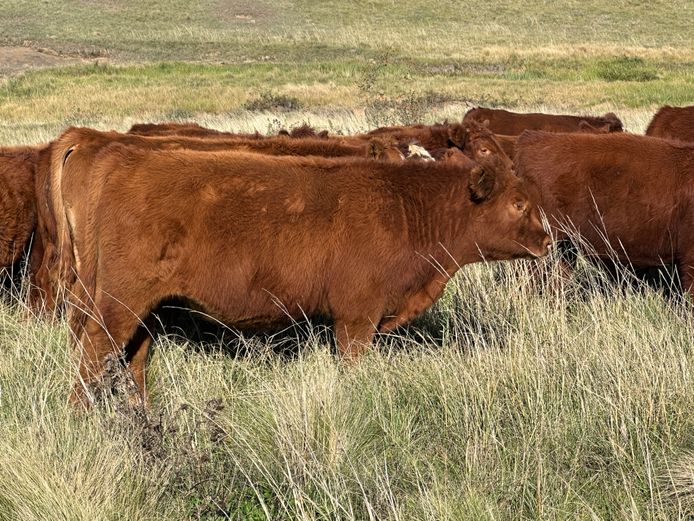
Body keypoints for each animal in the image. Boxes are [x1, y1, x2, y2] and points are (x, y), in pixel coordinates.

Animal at [65, 144, 552, 404]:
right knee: (93, 353)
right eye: (518, 204)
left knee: (133, 360)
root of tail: (124, 156)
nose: (547, 241)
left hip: (148, 309)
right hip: (119, 302)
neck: (406, 208)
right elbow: (352, 364)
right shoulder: (356, 318)